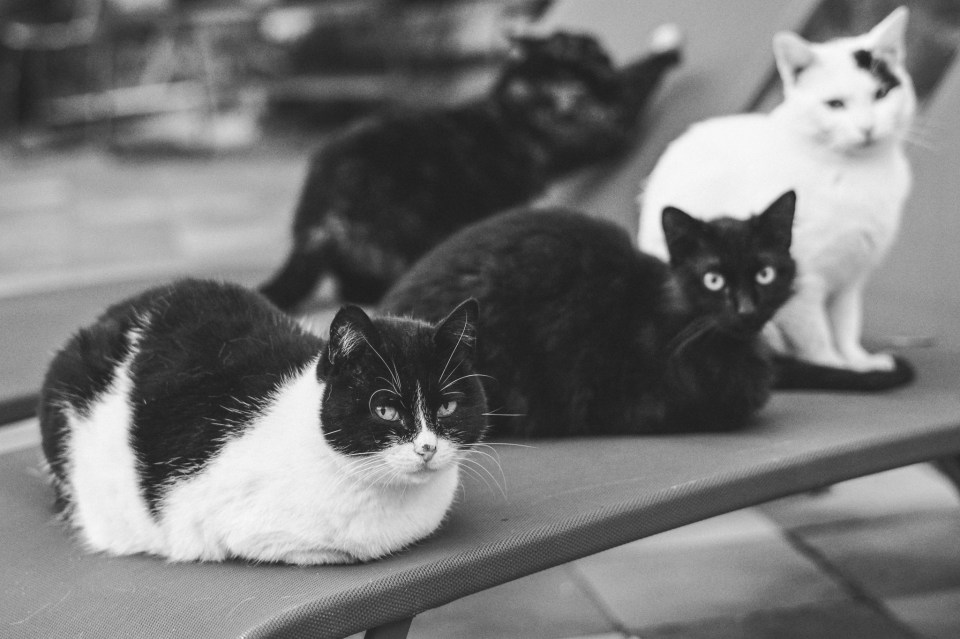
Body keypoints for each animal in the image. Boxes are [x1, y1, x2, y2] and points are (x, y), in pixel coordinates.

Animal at [259, 25, 682, 310]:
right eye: (593, 51)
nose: (604, 54)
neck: (519, 98)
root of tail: (316, 213)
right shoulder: (604, 130)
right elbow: (635, 83)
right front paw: (667, 46)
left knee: (350, 287)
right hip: (404, 232)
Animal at [638, 7, 915, 386]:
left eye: (882, 94)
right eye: (835, 104)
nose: (867, 128)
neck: (859, 174)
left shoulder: (852, 277)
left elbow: (846, 324)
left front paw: (858, 361)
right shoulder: (805, 280)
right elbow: (817, 337)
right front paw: (835, 368)